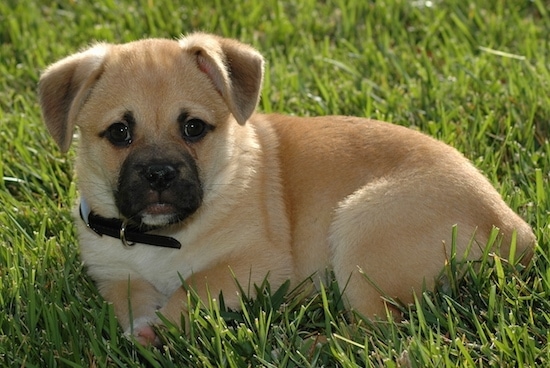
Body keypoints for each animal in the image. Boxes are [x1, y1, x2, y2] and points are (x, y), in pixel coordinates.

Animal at [36, 32, 536, 344]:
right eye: (119, 133)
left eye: (194, 127)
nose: (159, 174)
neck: (162, 236)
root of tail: (516, 229)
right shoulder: (115, 276)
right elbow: (133, 300)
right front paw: (142, 328)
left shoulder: (255, 263)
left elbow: (195, 285)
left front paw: (161, 327)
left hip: (363, 230)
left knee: (384, 328)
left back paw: (313, 344)